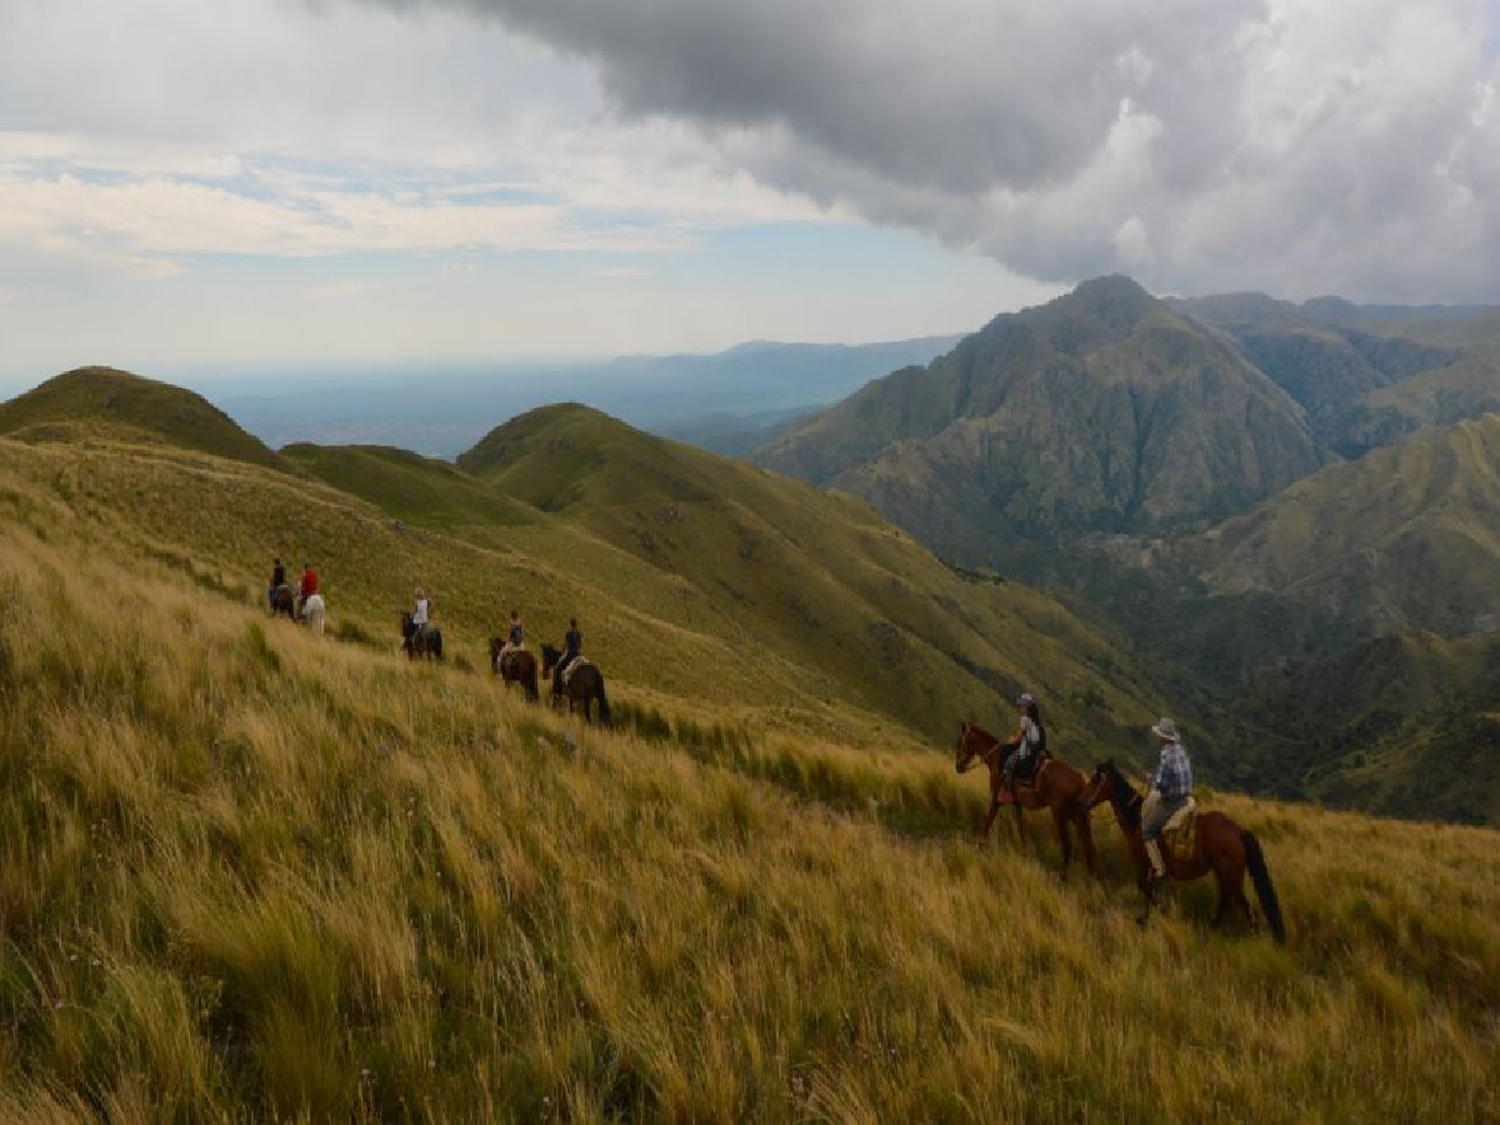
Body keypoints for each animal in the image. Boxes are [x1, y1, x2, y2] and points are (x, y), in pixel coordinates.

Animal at [954, 723, 1098, 882]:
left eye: (960, 743)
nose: (958, 767)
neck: (996, 759)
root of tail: (1081, 781)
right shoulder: (1017, 804)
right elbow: (1021, 828)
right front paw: (1024, 852)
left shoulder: (996, 799)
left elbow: (988, 821)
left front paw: (980, 845)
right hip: (1077, 816)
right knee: (1088, 844)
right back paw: (1089, 876)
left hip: (1060, 814)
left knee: (1068, 845)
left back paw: (1063, 876)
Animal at [1086, 759, 1284, 942]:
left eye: (1097, 779)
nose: (1082, 801)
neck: (1138, 819)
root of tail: (1238, 831)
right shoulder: (1152, 869)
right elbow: (1149, 890)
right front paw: (1145, 918)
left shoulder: (1143, 863)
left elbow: (1145, 888)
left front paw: (1155, 916)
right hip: (1224, 875)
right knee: (1227, 901)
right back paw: (1214, 928)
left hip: (1231, 876)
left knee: (1242, 905)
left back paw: (1248, 934)